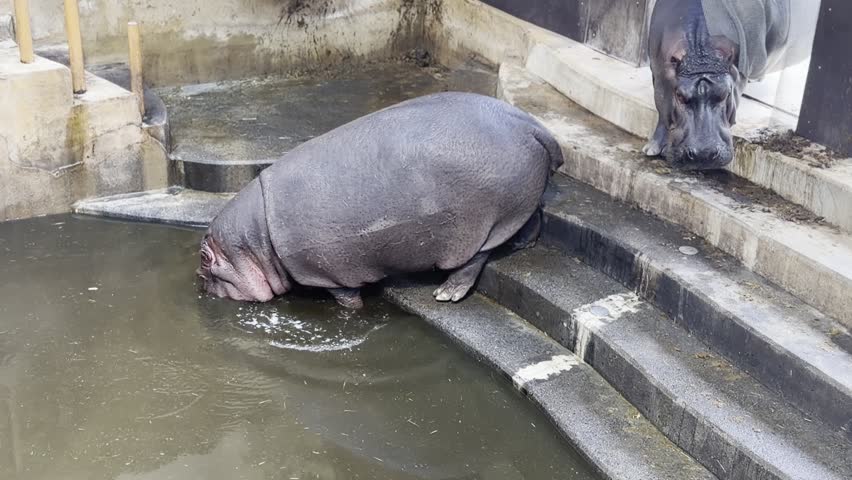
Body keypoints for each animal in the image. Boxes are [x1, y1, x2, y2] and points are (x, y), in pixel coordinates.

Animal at [197, 92, 563, 309]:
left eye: (204, 259)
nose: (199, 285)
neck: (257, 241)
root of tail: (531, 126)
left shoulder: (328, 272)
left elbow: (347, 300)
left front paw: (354, 311)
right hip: (516, 201)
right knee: (533, 214)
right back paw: (523, 245)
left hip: (478, 226)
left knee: (476, 257)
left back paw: (446, 294)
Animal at [644, 0, 812, 169]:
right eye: (679, 95)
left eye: (726, 93)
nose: (703, 154)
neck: (701, 53)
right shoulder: (658, 73)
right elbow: (662, 109)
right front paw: (652, 149)